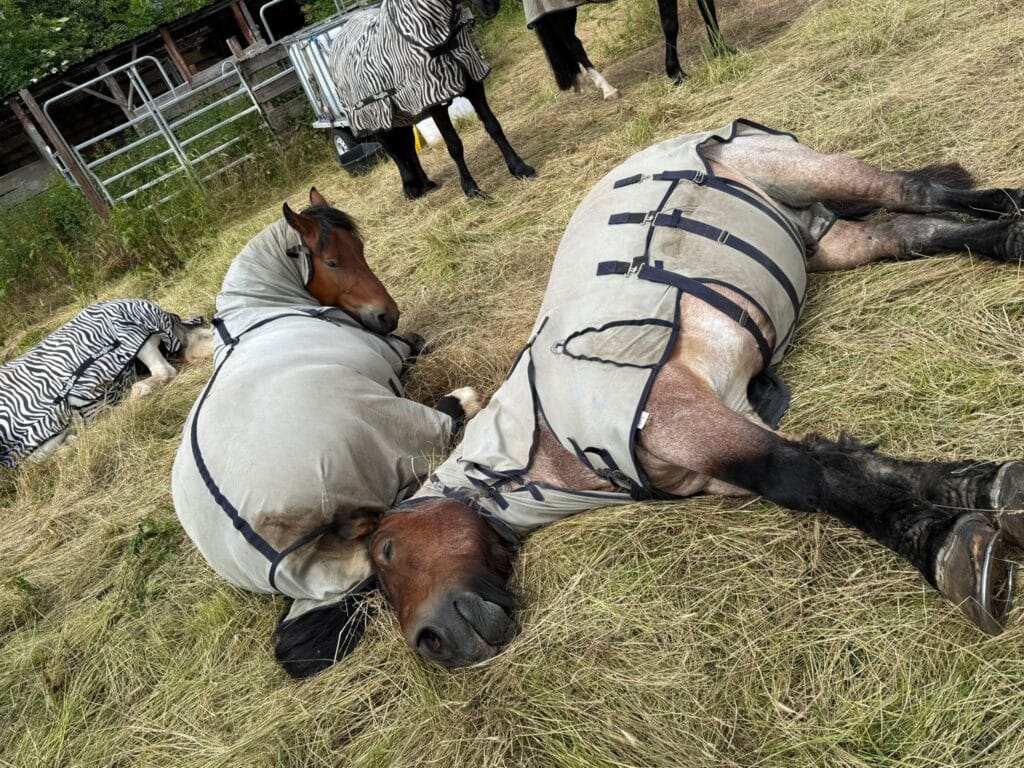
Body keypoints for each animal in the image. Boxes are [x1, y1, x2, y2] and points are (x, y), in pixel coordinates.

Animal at [171, 188, 481, 678]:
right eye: (333, 261)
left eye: (361, 250)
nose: (387, 316)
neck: (259, 311)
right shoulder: (393, 350)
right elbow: (416, 345)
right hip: (386, 421)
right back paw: (462, 401)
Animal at [328, 0, 536, 199]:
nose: (490, 6)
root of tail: (340, 38)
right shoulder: (435, 101)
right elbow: (454, 145)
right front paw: (472, 190)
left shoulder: (472, 83)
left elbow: (493, 127)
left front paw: (520, 169)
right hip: (375, 118)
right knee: (394, 152)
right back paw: (410, 189)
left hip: (403, 116)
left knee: (408, 147)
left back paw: (425, 184)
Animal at [361, 120, 1024, 668]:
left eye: (386, 553)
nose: (434, 644)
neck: (548, 436)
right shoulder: (721, 439)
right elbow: (838, 462)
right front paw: (983, 487)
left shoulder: (681, 410)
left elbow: (804, 475)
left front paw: (944, 548)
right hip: (819, 237)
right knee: (910, 230)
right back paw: (1004, 237)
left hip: (802, 170)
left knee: (916, 193)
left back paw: (1011, 214)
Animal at [526, 0, 729, 100]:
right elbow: (670, 23)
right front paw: (676, 74)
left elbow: (708, 10)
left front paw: (723, 51)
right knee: (573, 45)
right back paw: (607, 90)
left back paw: (584, 87)